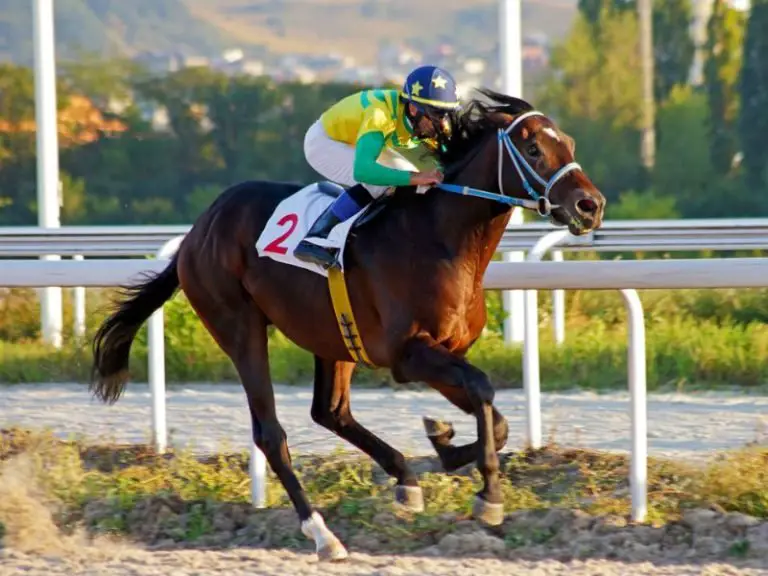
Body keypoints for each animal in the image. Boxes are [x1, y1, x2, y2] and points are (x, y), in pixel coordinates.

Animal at [88, 88, 605, 561]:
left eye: (570, 144)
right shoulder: (408, 354)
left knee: (330, 412)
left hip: (333, 337)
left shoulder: (445, 351)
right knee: (271, 433)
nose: (591, 206)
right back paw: (323, 534)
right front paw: (488, 495)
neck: (440, 239)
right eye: (534, 149)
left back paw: (404, 479)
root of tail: (197, 231)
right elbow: (482, 390)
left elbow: (495, 419)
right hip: (238, 324)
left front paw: (444, 442)